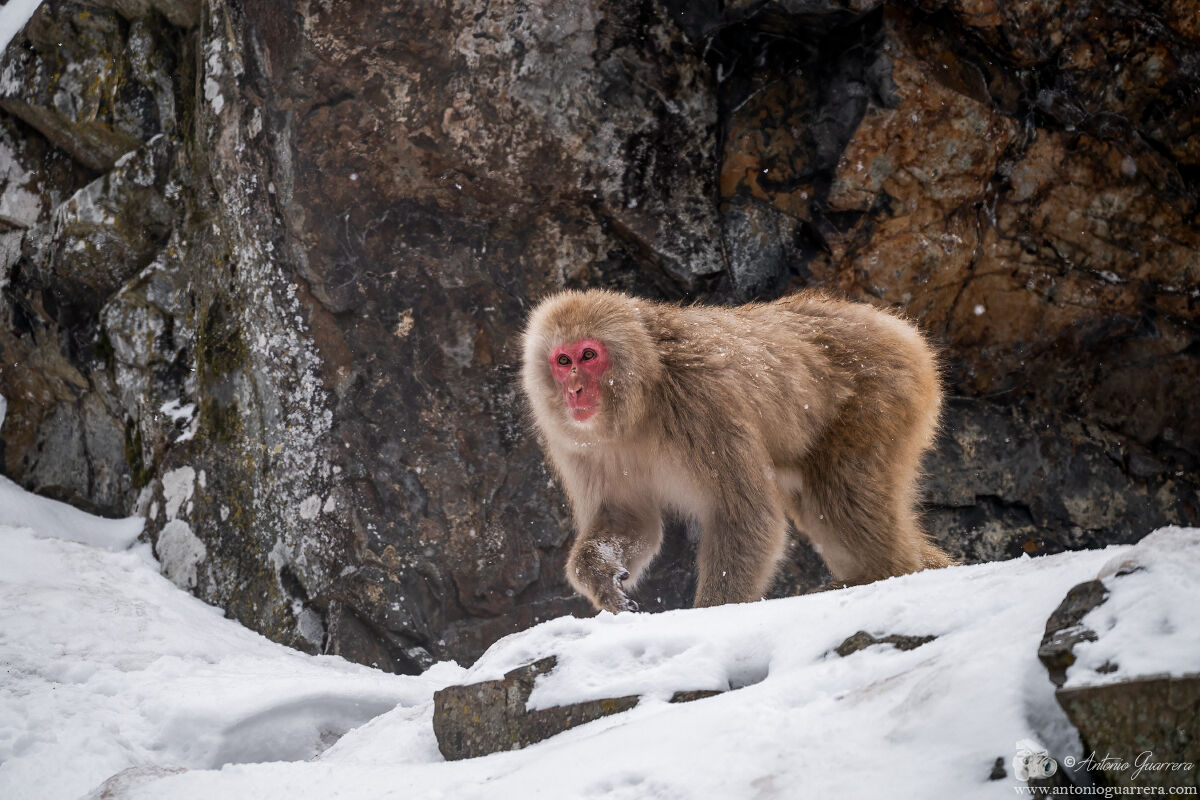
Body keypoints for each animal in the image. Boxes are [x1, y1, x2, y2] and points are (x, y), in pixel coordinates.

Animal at [521, 289, 953, 614]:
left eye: (588, 355)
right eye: (563, 361)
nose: (574, 390)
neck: (642, 399)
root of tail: (897, 328)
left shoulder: (704, 404)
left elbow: (746, 515)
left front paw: (711, 614)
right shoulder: (580, 446)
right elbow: (628, 519)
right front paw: (599, 576)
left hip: (882, 395)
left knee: (842, 497)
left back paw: (893, 572)